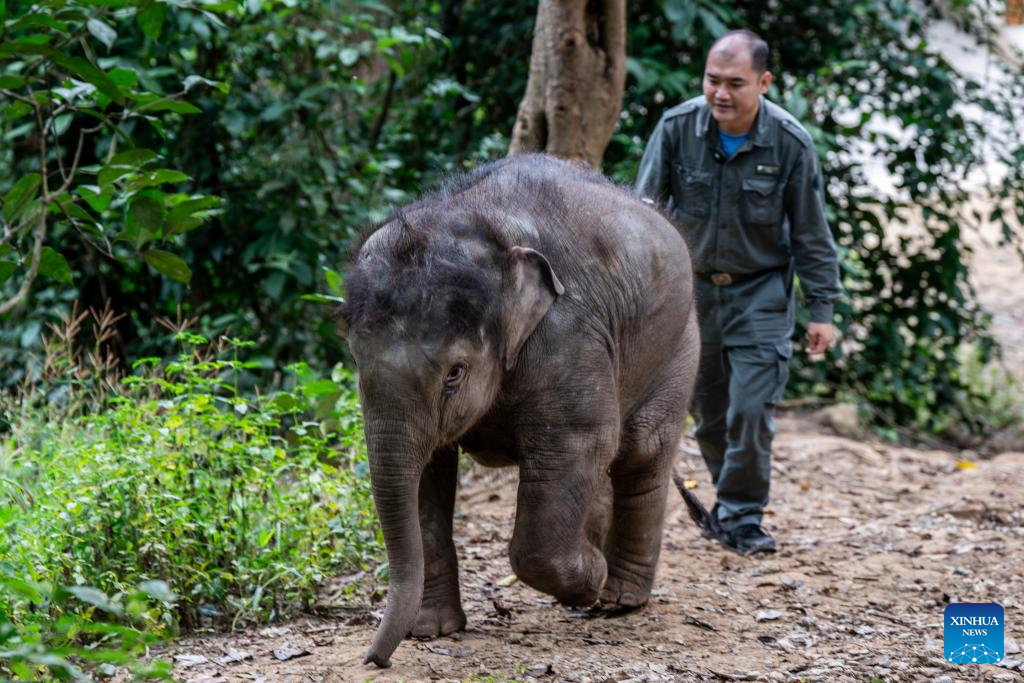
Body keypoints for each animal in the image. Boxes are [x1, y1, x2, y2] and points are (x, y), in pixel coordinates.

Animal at [339, 153, 700, 667]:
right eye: (355, 360)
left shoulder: (568, 338)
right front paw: (432, 631)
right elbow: (428, 475)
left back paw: (618, 599)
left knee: (640, 451)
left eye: (455, 373)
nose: (375, 660)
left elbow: (578, 446)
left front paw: (589, 582)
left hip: (679, 341)